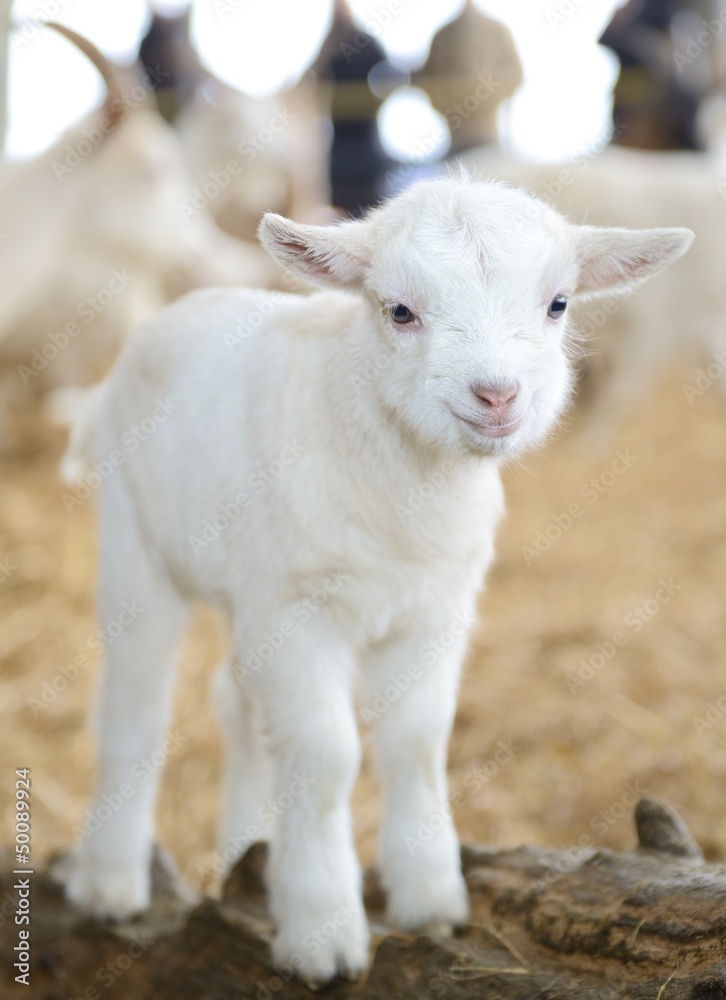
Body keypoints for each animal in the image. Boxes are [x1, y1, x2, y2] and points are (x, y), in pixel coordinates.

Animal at [64, 178, 692, 984]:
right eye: (399, 310)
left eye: (558, 303)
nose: (497, 395)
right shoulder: (297, 612)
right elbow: (327, 757)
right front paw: (322, 934)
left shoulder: (433, 608)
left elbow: (416, 743)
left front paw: (429, 900)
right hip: (136, 541)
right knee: (135, 714)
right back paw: (111, 885)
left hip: (246, 584)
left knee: (236, 706)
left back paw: (244, 857)